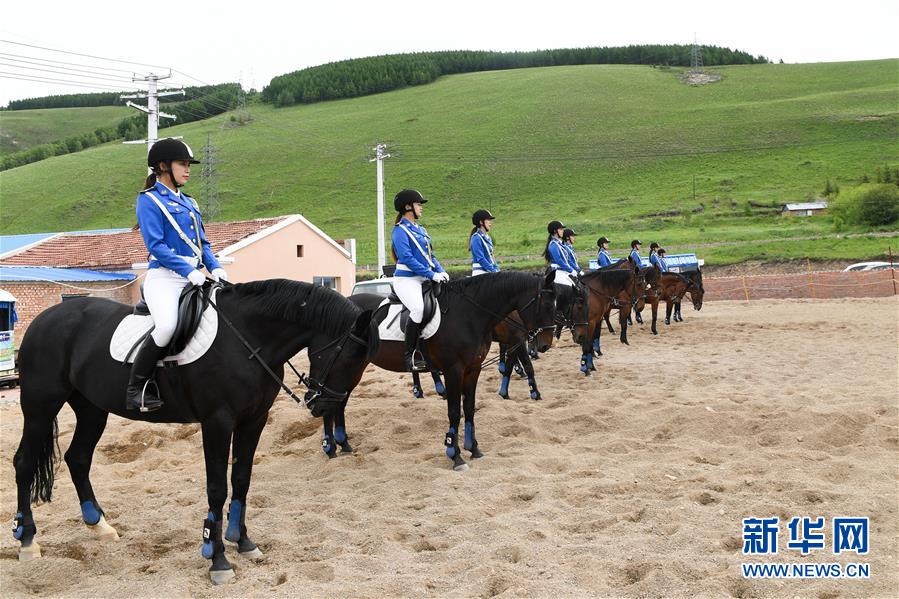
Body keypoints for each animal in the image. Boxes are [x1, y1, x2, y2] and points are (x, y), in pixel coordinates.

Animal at [13, 282, 380, 584]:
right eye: (347, 356)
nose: (323, 406)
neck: (248, 339)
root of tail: (44, 320)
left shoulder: (254, 420)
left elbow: (242, 479)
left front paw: (243, 541)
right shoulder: (217, 422)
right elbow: (217, 488)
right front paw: (217, 559)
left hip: (91, 409)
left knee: (78, 458)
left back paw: (98, 525)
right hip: (40, 406)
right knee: (24, 463)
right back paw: (28, 541)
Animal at [326, 274, 560, 474]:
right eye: (547, 304)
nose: (545, 344)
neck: (469, 314)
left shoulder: (473, 369)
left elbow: (469, 408)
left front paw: (473, 448)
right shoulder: (453, 370)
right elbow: (455, 412)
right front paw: (454, 454)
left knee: (338, 401)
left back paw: (343, 444)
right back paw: (331, 447)